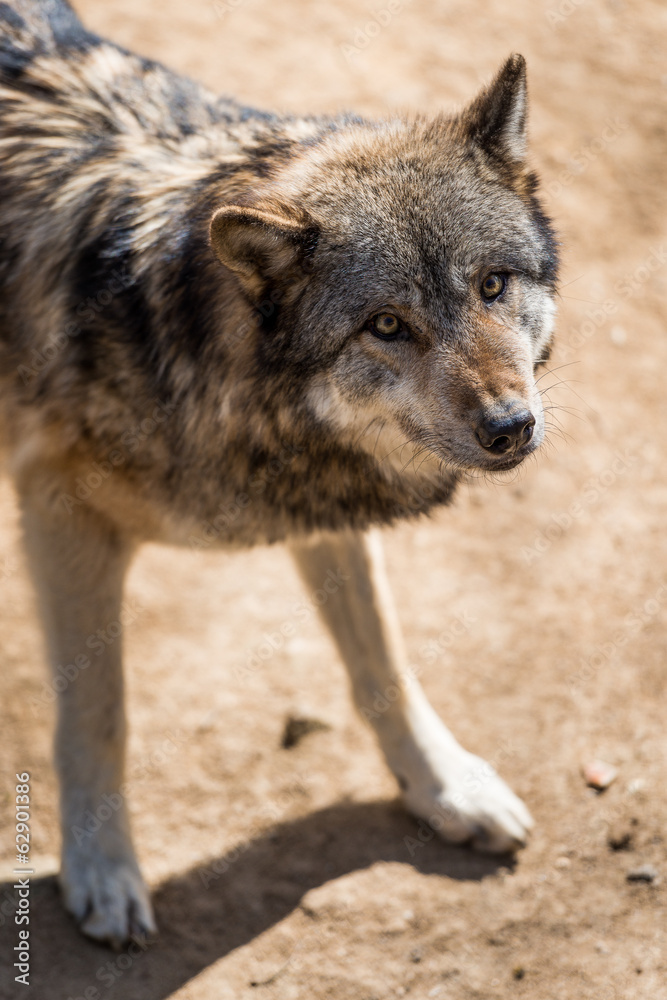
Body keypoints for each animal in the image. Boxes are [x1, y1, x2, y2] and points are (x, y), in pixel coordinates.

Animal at [0, 0, 558, 946]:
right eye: (386, 324)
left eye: (491, 285)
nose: (509, 429)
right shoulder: (59, 509)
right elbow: (98, 714)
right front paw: (102, 870)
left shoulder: (325, 511)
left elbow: (384, 667)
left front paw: (445, 789)